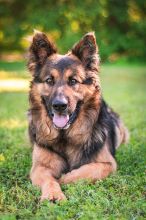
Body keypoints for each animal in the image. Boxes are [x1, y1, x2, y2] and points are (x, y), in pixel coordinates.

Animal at [27, 30, 129, 201]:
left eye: (73, 81)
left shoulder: (108, 164)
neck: (65, 137)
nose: (59, 105)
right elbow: (49, 179)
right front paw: (53, 194)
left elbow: (85, 171)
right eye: (49, 80)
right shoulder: (39, 167)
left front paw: (63, 178)